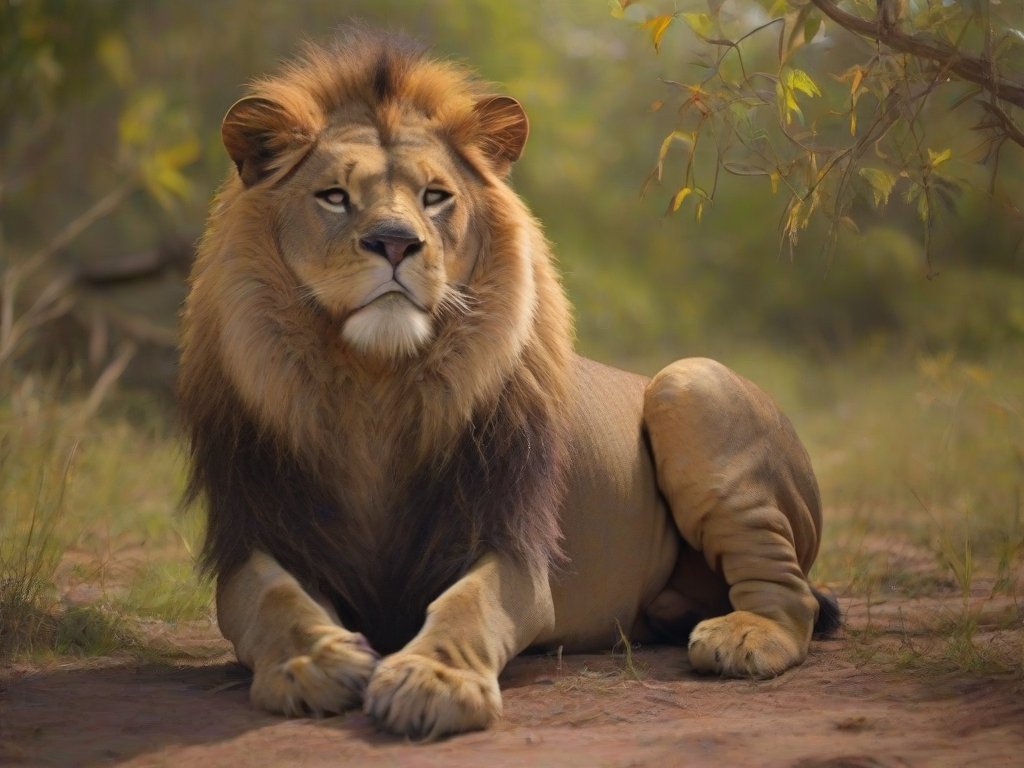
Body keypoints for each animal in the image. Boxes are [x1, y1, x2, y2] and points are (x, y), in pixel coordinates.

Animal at [179, 28, 839, 740]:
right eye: (334, 196)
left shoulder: (508, 538)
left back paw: (742, 637)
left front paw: (432, 679)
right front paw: (312, 661)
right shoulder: (259, 531)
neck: (376, 383)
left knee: (790, 594)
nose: (394, 243)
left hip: (691, 385)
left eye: (435, 196)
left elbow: (468, 604)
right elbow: (273, 599)